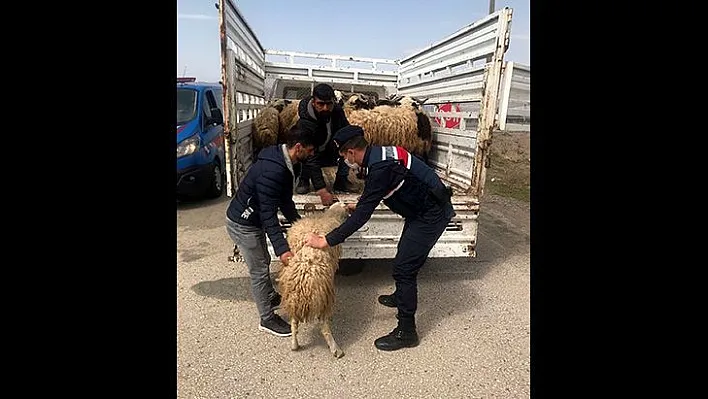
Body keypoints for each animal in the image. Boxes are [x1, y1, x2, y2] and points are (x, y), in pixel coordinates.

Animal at [278, 203, 352, 360]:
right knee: (324, 326)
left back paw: (294, 344)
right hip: (324, 298)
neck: (328, 216)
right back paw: (336, 349)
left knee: (294, 322)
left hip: (291, 298)